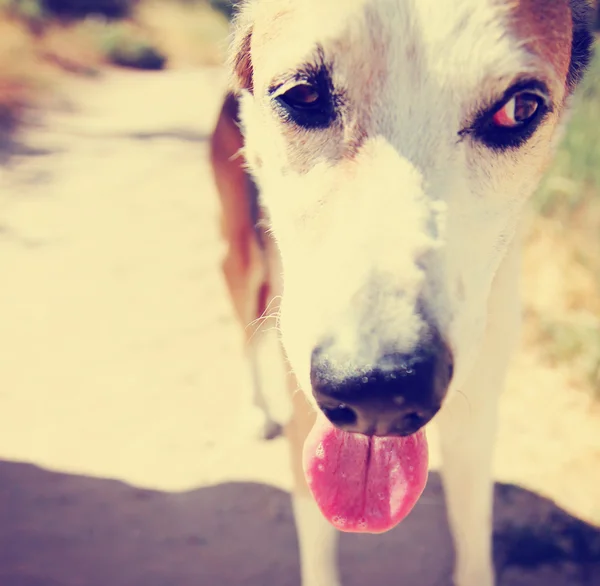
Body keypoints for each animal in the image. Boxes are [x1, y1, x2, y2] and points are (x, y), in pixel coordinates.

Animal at [209, 2, 592, 580]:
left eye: (520, 109)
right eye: (302, 94)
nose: (378, 392)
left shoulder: (476, 418)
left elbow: (474, 539)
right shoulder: (306, 411)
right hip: (245, 257)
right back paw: (255, 409)